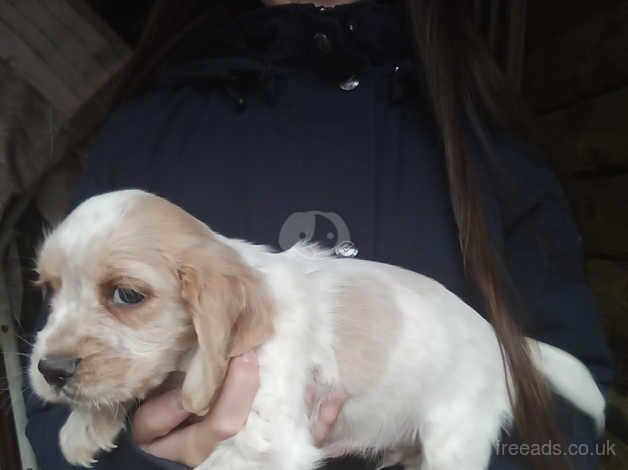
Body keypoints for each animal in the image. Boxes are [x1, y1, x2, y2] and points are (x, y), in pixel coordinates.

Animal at [28, 189, 604, 468]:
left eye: (127, 295)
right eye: (48, 290)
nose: (49, 371)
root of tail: (502, 339)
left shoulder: (266, 447)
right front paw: (85, 427)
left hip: (455, 442)